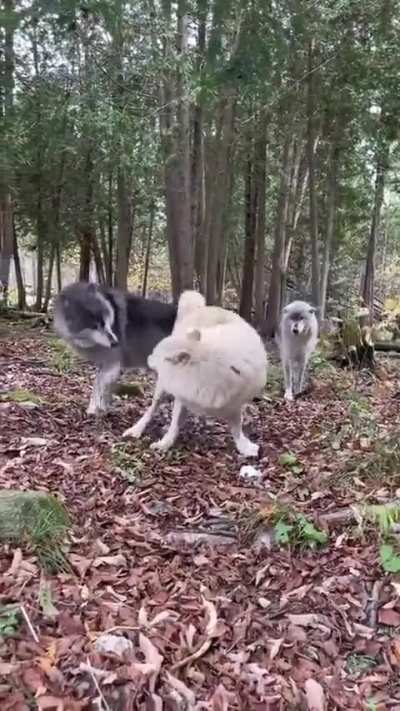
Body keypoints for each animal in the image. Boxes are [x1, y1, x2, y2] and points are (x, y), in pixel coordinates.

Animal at [53, 281, 177, 414]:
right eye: (94, 326)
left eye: (105, 320)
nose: (115, 343)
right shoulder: (104, 364)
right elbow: (100, 386)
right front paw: (102, 408)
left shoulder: (112, 362)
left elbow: (97, 385)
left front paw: (93, 410)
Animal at [123, 291, 267, 457]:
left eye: (161, 356)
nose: (148, 358)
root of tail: (201, 308)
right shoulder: (182, 395)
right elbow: (174, 423)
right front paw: (165, 444)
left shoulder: (234, 403)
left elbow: (237, 428)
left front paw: (244, 447)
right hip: (162, 386)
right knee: (152, 407)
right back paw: (136, 429)